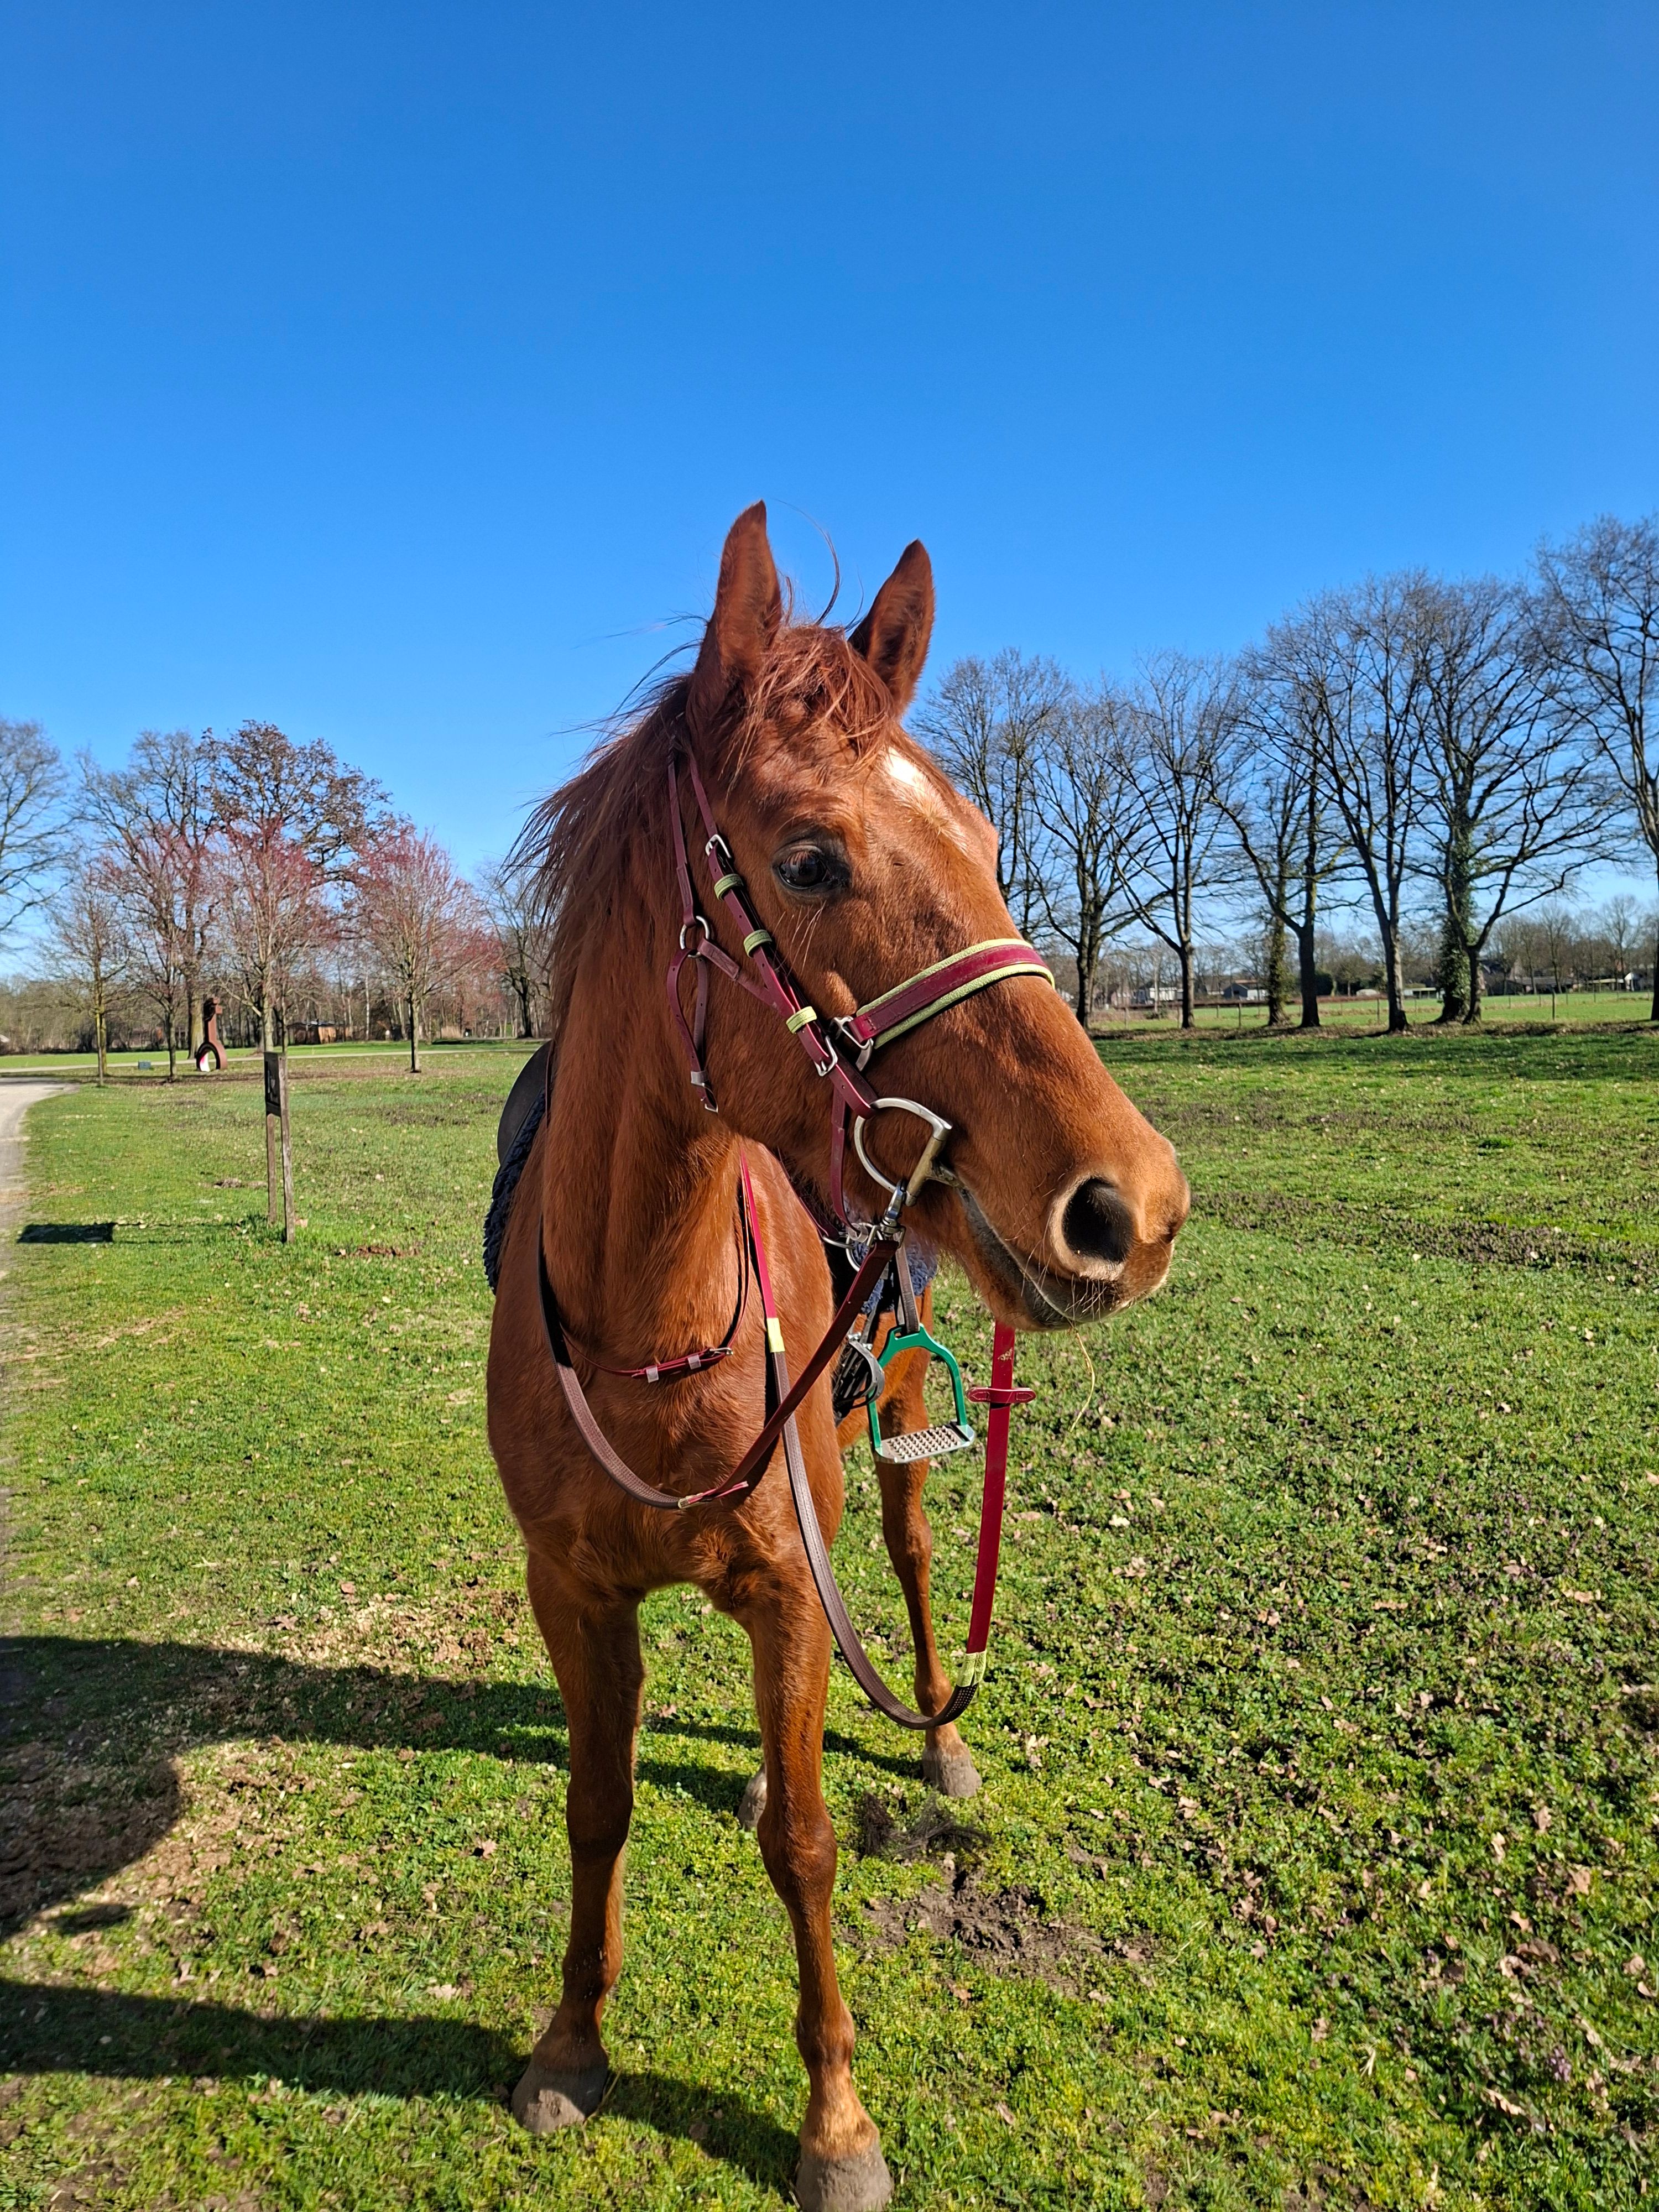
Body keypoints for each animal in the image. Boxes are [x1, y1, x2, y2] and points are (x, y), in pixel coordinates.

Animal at [486, 504, 1189, 2211]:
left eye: (994, 851)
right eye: (810, 860)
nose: (1130, 1206)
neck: (646, 1326)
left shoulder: (793, 1588)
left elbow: (806, 1846)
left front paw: (836, 2124)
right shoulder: (574, 1592)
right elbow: (596, 1803)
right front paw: (570, 2043)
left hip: (906, 1441)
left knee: (919, 1569)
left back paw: (939, 1746)